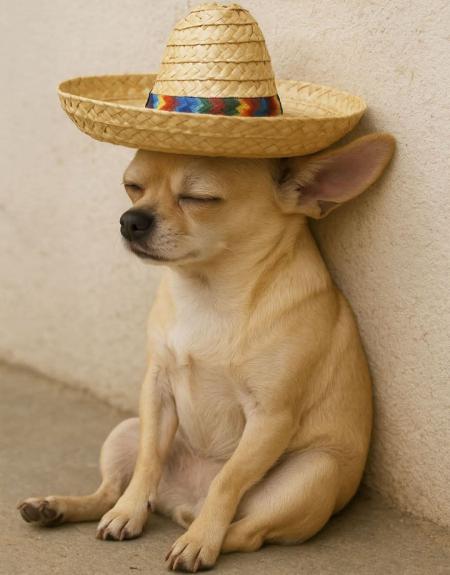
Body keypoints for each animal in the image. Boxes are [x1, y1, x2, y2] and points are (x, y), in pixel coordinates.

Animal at [18, 133, 395, 572]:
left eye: (199, 198)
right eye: (133, 187)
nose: (130, 219)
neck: (210, 292)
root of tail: (184, 502)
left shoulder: (270, 418)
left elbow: (228, 479)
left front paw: (199, 541)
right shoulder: (157, 390)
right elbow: (148, 461)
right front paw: (129, 513)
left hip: (312, 473)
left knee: (246, 531)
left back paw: (197, 538)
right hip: (125, 430)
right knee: (109, 492)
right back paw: (61, 507)